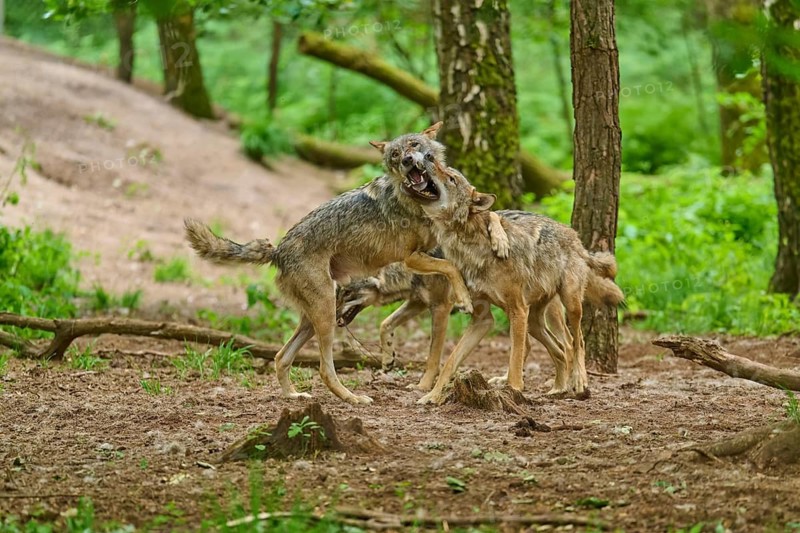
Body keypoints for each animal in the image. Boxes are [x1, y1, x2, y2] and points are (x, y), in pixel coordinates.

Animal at [184, 123, 505, 405]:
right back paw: (354, 398)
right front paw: (463, 298)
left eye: (415, 146)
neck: (422, 199)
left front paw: (499, 240)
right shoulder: (413, 256)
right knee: (324, 369)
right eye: (395, 155)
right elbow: (451, 269)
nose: (410, 161)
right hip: (326, 314)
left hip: (317, 316)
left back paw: (293, 397)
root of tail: (278, 251)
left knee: (281, 357)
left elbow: (491, 215)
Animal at [406, 165, 624, 405]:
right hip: (534, 321)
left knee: (577, 342)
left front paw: (513, 391)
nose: (427, 159)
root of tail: (576, 237)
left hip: (568, 305)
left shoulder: (518, 309)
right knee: (559, 349)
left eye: (452, 178)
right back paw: (558, 388)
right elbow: (450, 361)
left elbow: (515, 360)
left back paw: (579, 383)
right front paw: (432, 396)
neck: (470, 248)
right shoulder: (483, 319)